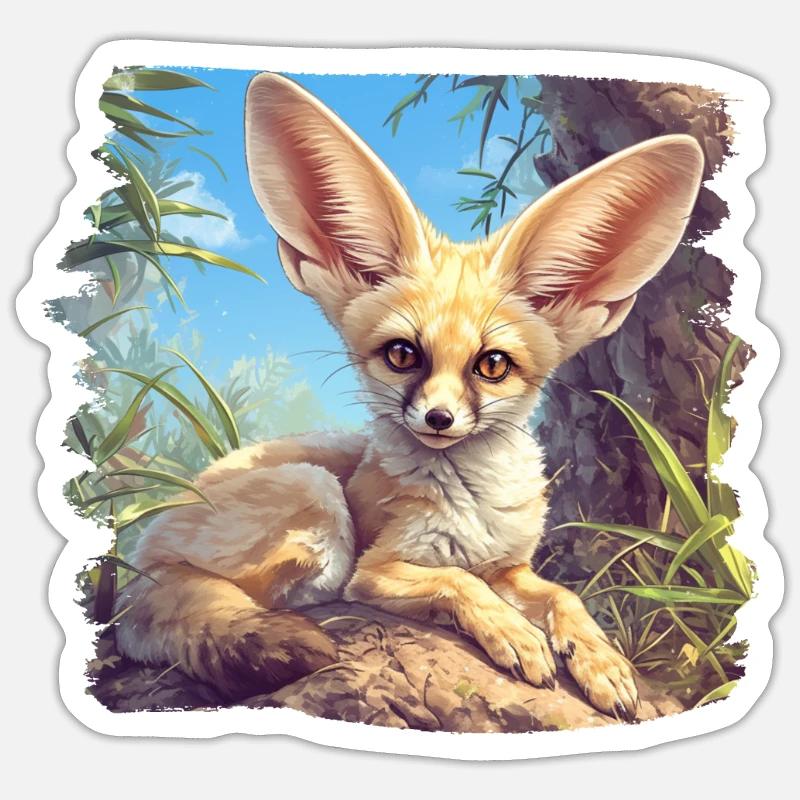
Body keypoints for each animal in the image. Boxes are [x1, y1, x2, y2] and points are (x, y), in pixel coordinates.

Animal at [113, 72, 704, 722]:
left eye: (492, 365)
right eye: (402, 355)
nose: (439, 417)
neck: (472, 506)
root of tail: (140, 559)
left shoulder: (509, 565)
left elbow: (563, 597)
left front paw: (601, 662)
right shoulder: (377, 571)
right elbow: (457, 582)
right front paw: (514, 635)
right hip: (317, 499)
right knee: (269, 599)